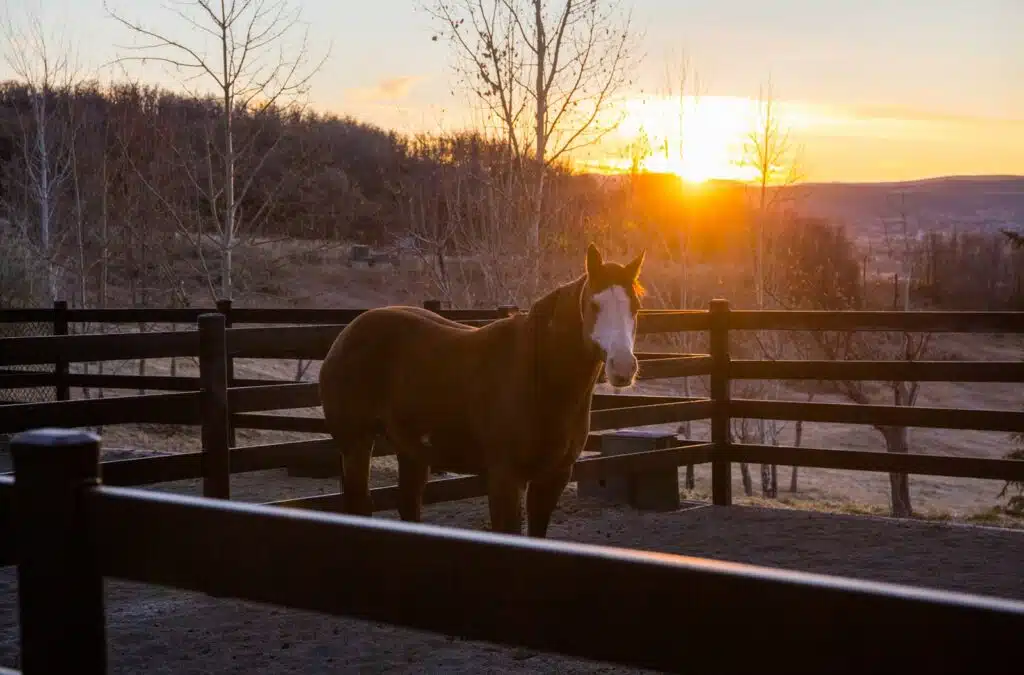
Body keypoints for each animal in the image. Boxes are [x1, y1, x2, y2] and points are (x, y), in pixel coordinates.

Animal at [318, 242, 646, 537]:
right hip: (356, 444)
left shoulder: (552, 478)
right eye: (594, 305)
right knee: (361, 506)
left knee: (408, 505)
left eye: (636, 307)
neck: (539, 379)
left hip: (411, 450)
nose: (623, 367)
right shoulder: (505, 479)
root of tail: (346, 334)